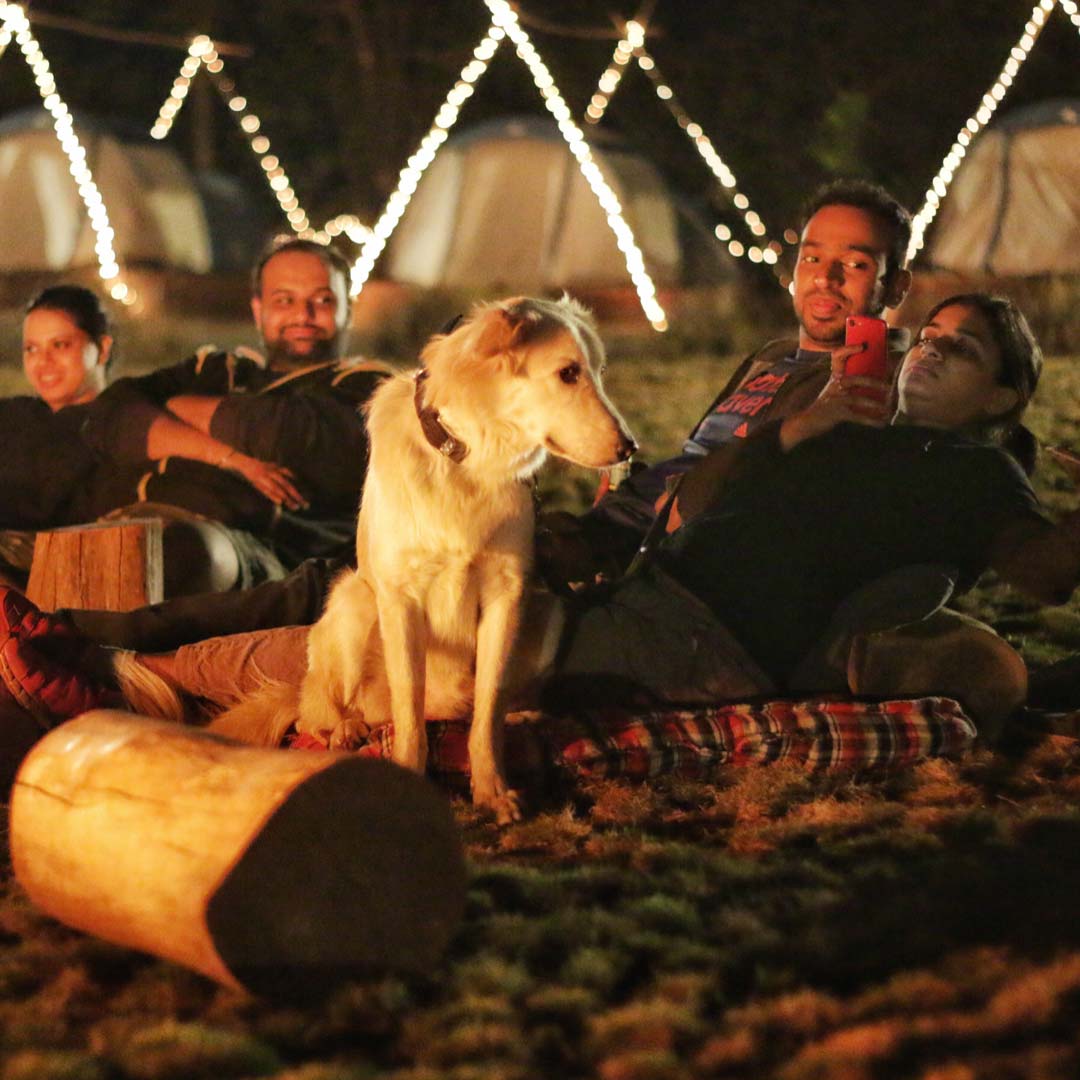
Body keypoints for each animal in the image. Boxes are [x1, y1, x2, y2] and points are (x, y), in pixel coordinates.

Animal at [211, 296, 635, 823]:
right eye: (567, 373)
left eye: (599, 372)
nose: (630, 447)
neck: (469, 460)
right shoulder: (401, 600)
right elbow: (408, 713)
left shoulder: (507, 594)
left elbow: (487, 709)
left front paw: (492, 789)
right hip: (355, 604)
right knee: (323, 712)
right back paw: (344, 730)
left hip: (546, 608)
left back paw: (522, 711)